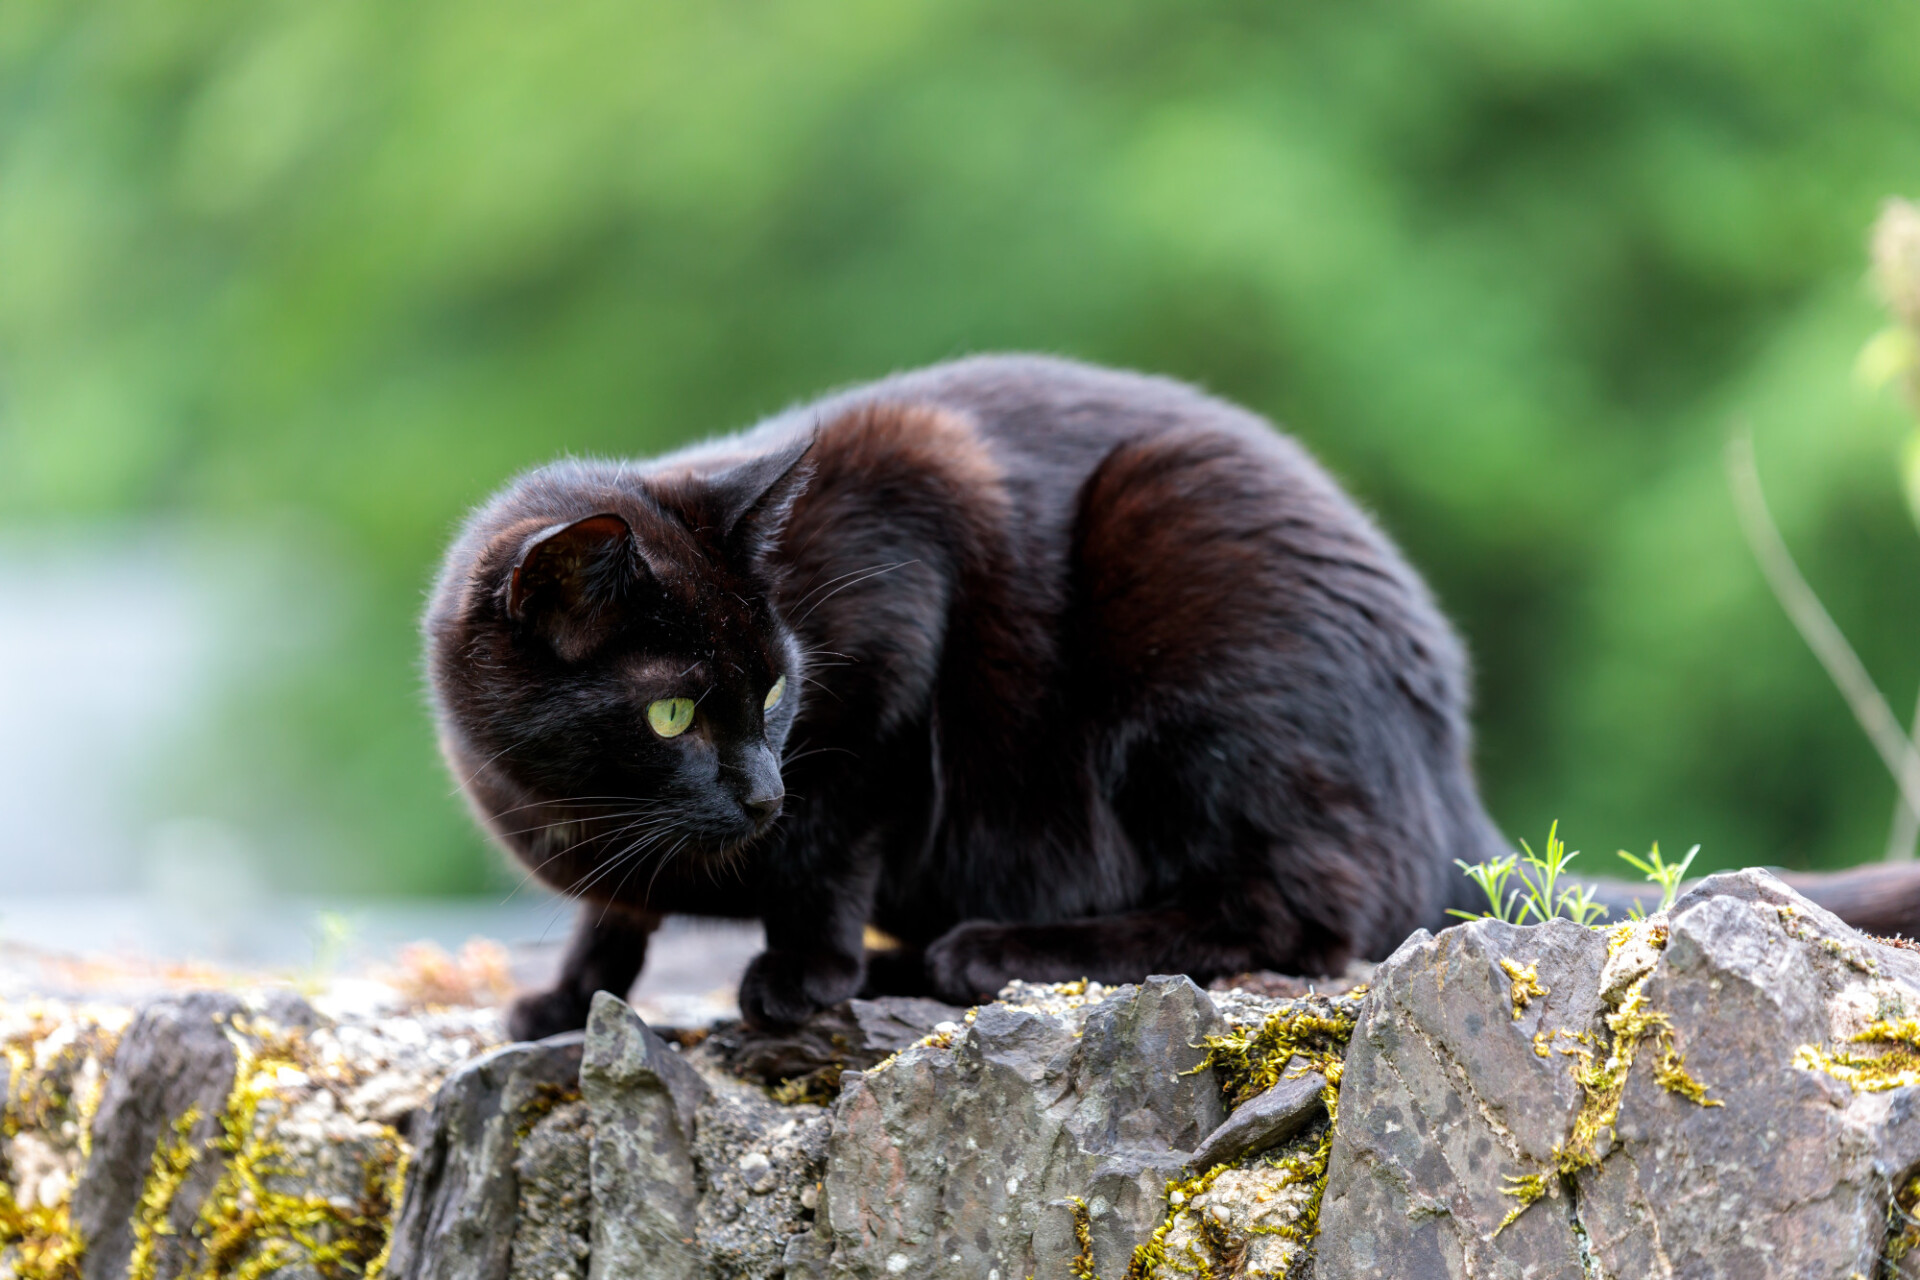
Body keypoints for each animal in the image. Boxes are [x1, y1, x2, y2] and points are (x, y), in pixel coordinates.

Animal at [432, 355, 1920, 1036]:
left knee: (1303, 910)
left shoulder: (910, 552)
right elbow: (614, 911)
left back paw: (978, 951)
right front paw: (565, 995)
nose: (757, 788)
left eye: (784, 686)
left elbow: (838, 833)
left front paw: (798, 974)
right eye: (679, 712)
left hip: (1185, 581)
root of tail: (1451, 790)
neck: (557, 811)